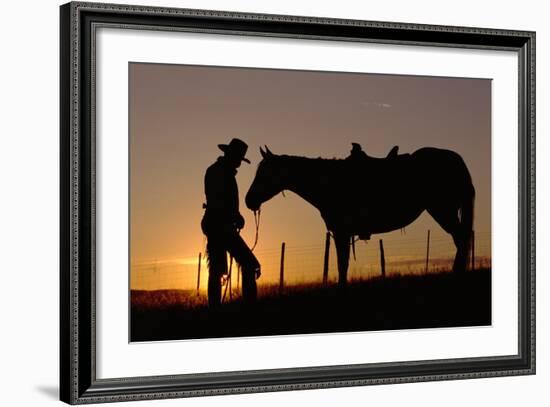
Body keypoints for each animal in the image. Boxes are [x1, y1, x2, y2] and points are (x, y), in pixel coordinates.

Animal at [246, 146, 474, 286]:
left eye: (264, 172)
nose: (248, 200)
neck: (327, 182)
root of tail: (456, 159)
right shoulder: (342, 233)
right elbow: (343, 263)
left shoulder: (341, 232)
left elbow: (342, 264)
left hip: (442, 209)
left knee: (461, 238)